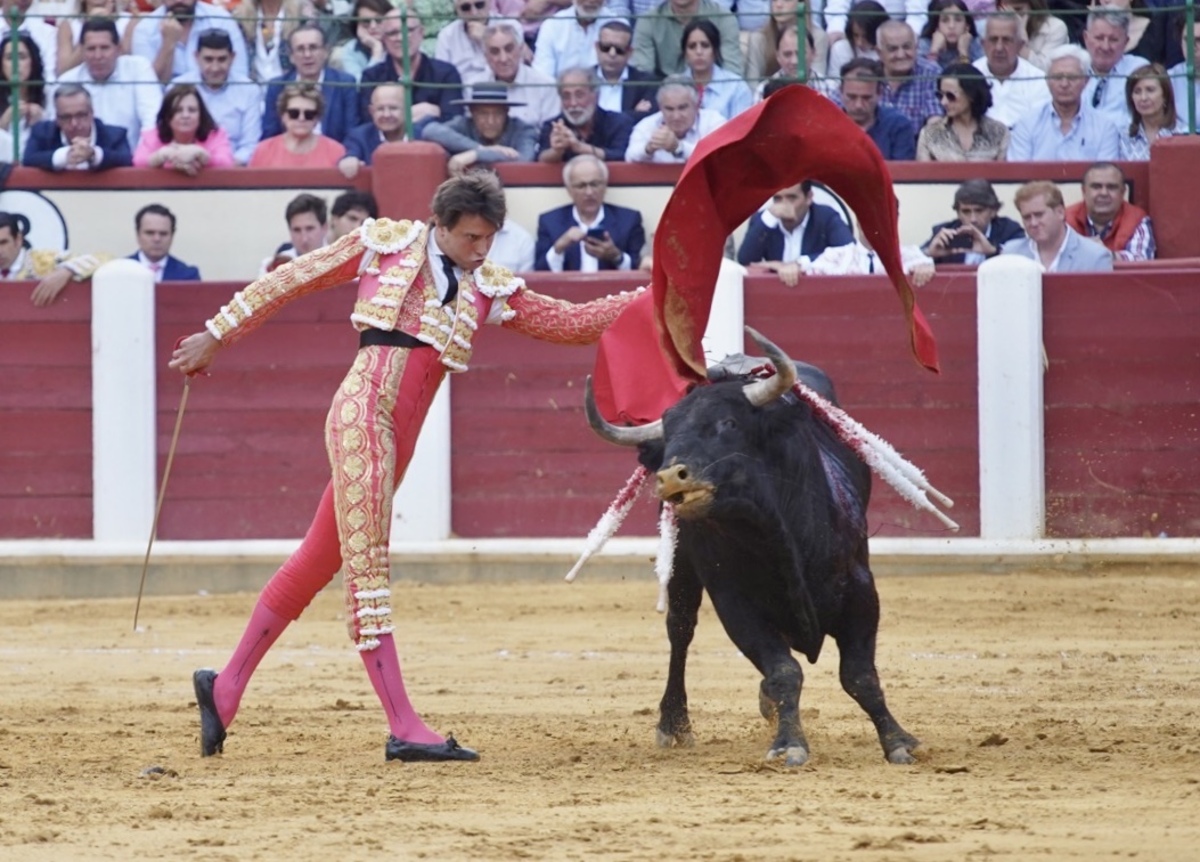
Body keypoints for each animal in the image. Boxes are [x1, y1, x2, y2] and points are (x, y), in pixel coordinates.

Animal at [588, 326, 916, 768]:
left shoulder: (861, 590)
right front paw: (789, 743)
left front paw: (897, 740)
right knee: (680, 632)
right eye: (669, 433)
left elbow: (860, 674)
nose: (671, 477)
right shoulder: (736, 604)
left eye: (727, 422)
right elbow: (784, 670)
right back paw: (673, 725)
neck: (770, 528)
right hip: (683, 569)